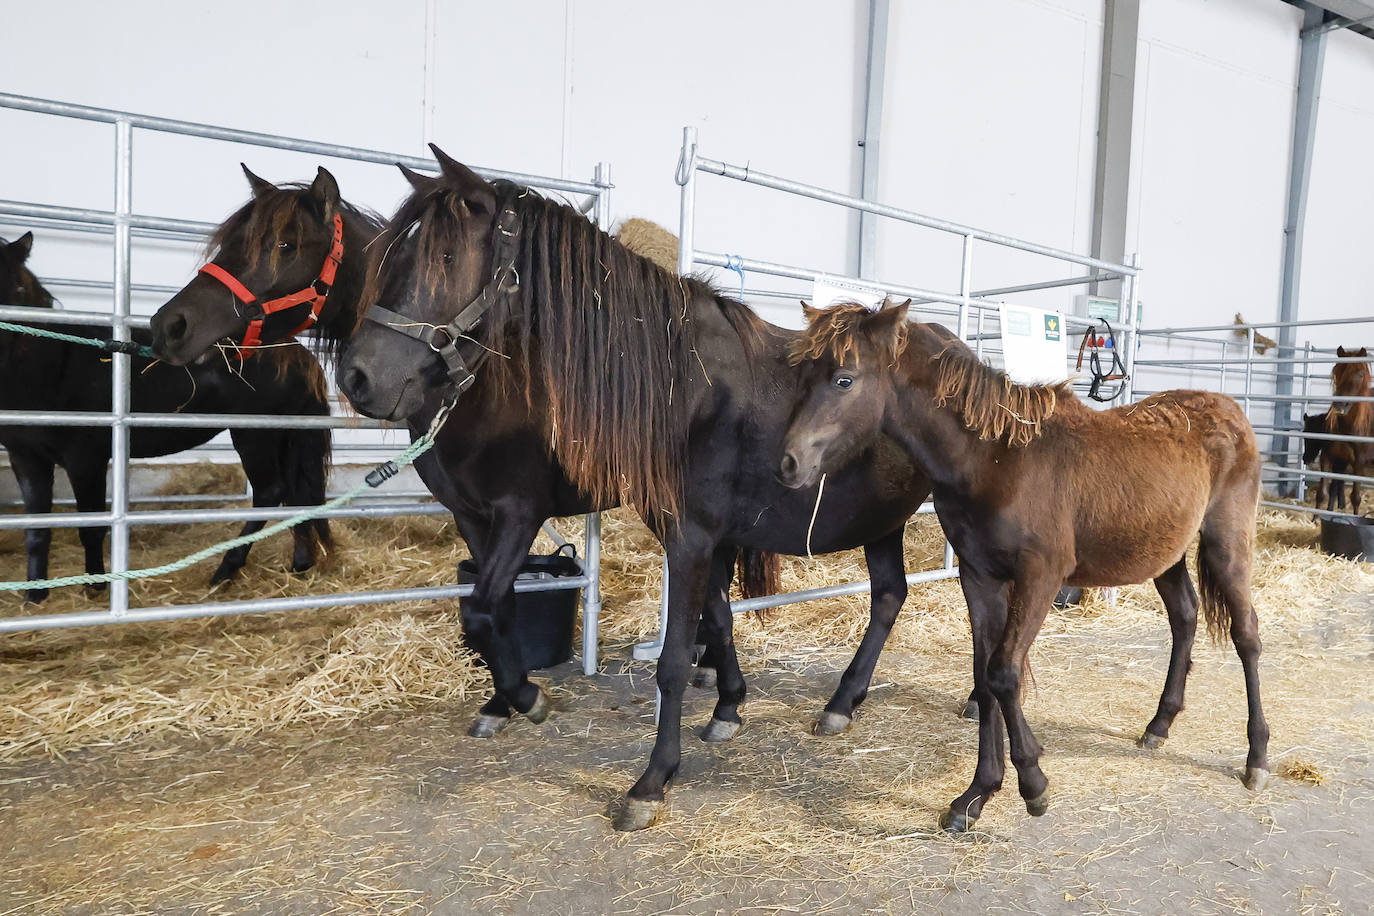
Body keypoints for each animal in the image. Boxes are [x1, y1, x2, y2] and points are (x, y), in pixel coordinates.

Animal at [0, 229, 332, 604]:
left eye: (12, 284)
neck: (50, 365)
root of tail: (301, 357)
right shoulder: (26, 459)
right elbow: (36, 531)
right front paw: (35, 595)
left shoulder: (85, 459)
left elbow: (91, 528)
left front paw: (95, 587)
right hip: (284, 435)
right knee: (297, 494)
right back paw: (299, 565)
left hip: (254, 435)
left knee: (269, 493)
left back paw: (224, 572)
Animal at [780, 304, 1269, 834]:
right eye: (804, 375)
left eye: (844, 379)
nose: (788, 463)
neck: (996, 458)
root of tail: (1230, 410)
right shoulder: (979, 578)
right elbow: (985, 675)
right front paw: (975, 796)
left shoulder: (1041, 577)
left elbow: (1003, 673)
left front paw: (1033, 784)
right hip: (1167, 554)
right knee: (1185, 617)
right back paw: (1159, 725)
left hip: (1227, 543)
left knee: (1246, 634)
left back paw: (1257, 759)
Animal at [1324, 346, 1368, 516]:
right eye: (1336, 371)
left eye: (1360, 374)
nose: (1339, 405)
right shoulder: (1329, 455)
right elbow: (1325, 491)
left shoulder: (1359, 463)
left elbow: (1356, 497)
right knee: (1337, 484)